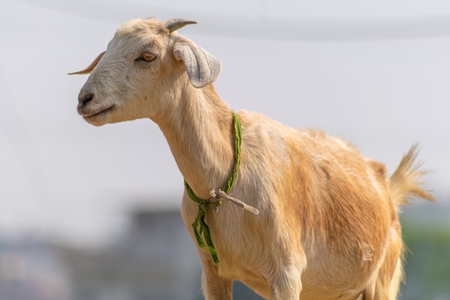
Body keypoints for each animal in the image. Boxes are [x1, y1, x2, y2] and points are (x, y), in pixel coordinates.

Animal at [69, 17, 432, 298]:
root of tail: (388, 186)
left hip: (382, 280)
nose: (85, 99)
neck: (224, 177)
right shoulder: (212, 272)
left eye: (148, 55)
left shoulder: (287, 273)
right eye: (108, 51)